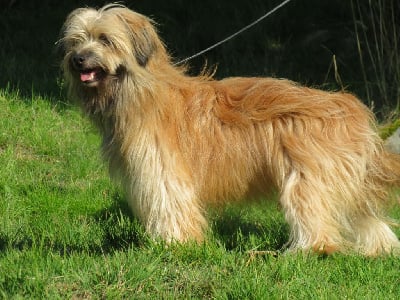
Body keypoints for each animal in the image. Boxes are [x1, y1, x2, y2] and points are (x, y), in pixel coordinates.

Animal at [58, 4, 400, 255]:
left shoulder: (163, 170)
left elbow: (171, 202)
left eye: (104, 39)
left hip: (309, 177)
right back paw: (379, 249)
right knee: (363, 212)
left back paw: (306, 251)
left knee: (315, 218)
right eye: (76, 41)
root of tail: (350, 108)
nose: (77, 59)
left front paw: (174, 245)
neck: (140, 92)